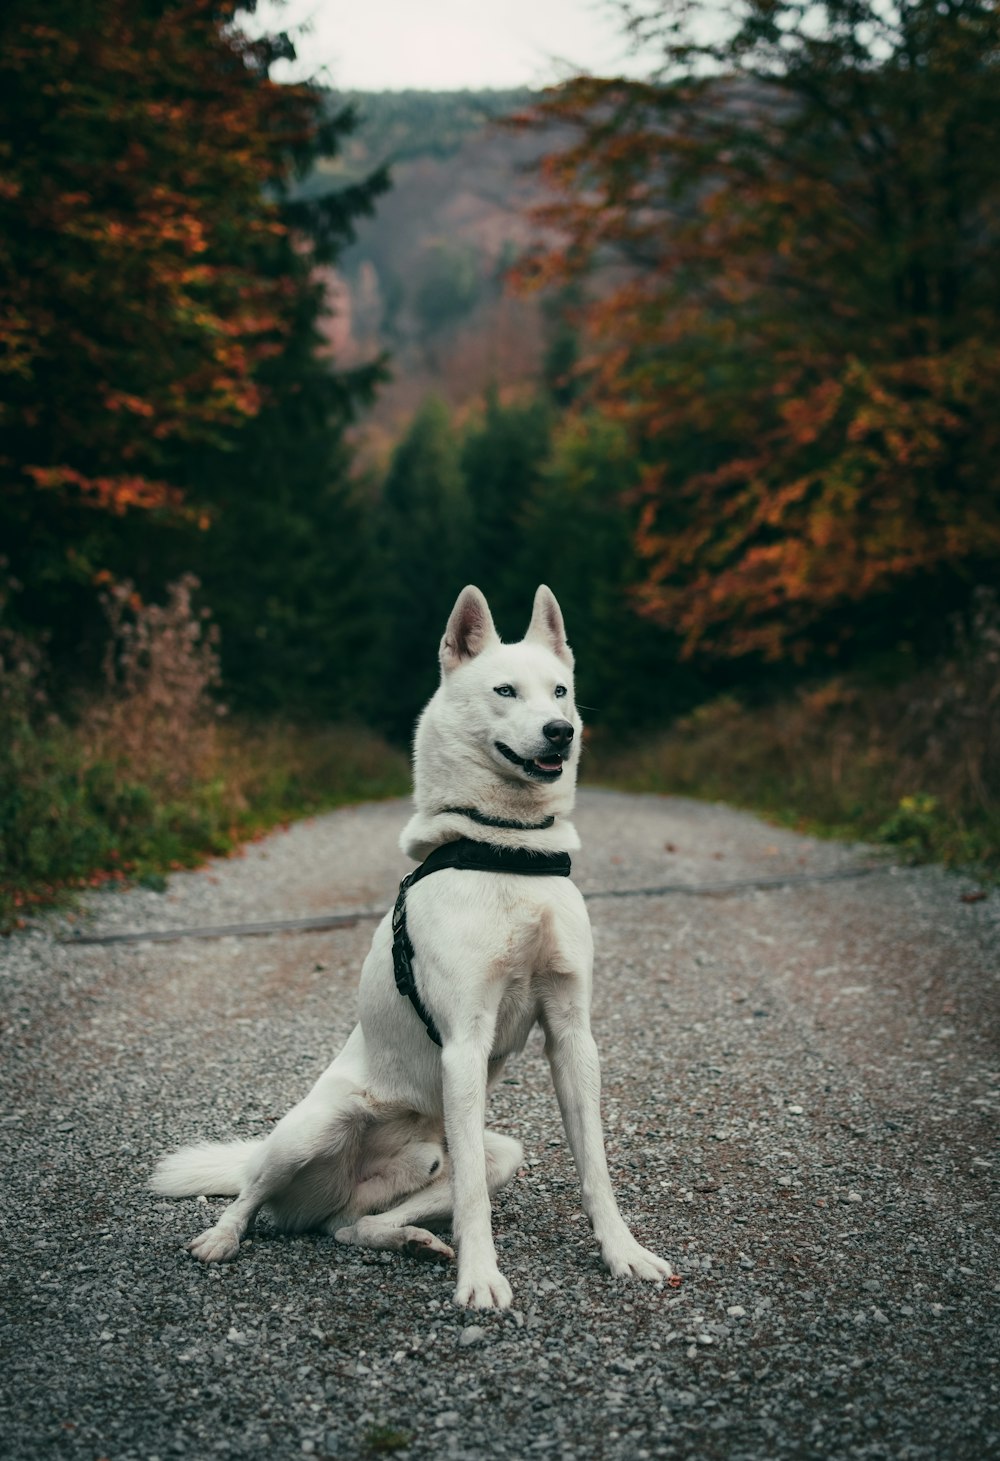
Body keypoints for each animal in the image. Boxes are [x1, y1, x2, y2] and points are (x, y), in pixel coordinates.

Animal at [150, 584, 672, 1314]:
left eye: (561, 692)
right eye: (505, 690)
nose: (559, 733)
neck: (507, 852)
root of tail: (334, 1192)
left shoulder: (572, 1036)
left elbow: (593, 1164)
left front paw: (623, 1252)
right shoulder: (464, 1043)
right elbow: (474, 1198)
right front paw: (481, 1279)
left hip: (494, 1152)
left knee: (354, 1226)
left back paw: (405, 1241)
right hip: (309, 1131)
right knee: (252, 1191)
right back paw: (222, 1237)